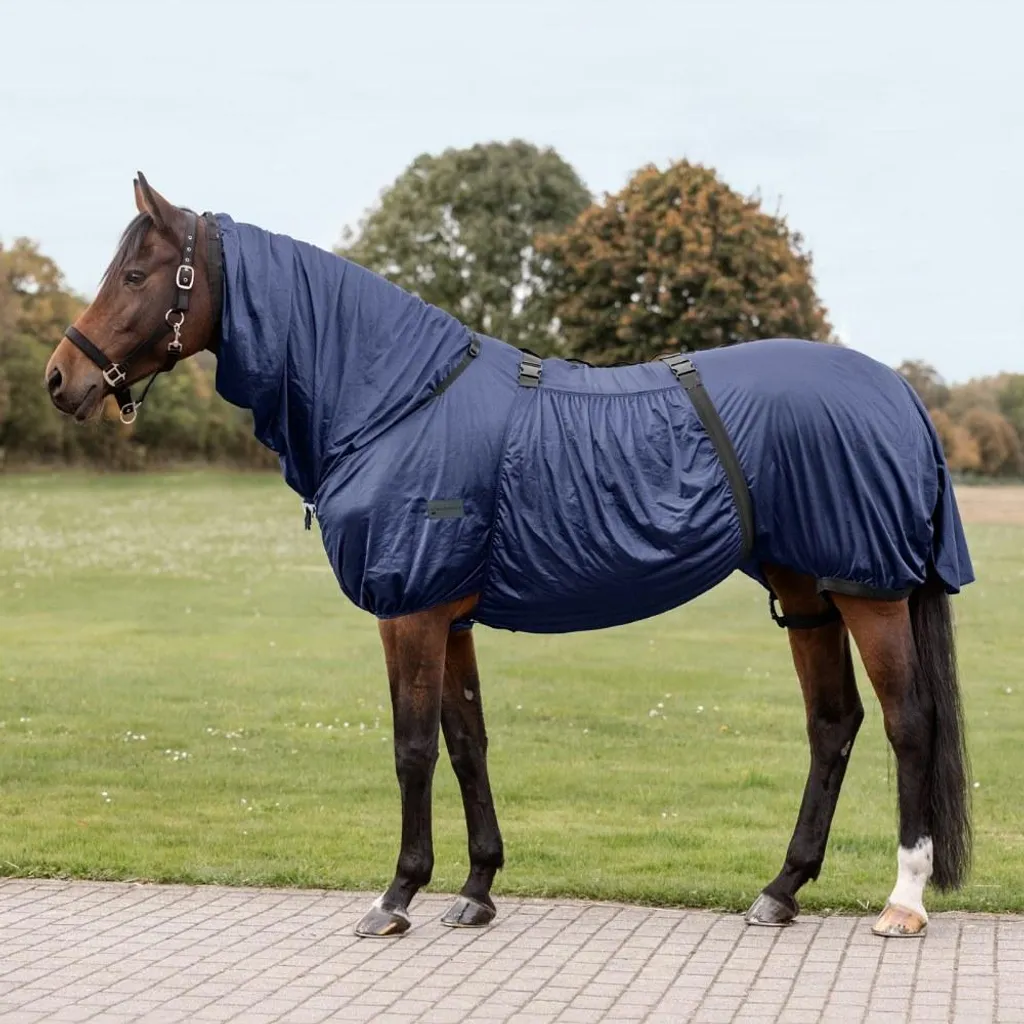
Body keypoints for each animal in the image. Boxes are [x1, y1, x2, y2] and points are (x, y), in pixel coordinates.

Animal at [45, 173, 973, 940]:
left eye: (136, 276)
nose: (60, 379)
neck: (397, 399)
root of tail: (899, 391)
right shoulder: (449, 616)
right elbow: (467, 742)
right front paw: (477, 890)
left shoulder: (410, 611)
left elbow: (412, 747)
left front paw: (396, 896)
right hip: (808, 593)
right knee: (833, 724)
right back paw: (780, 891)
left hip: (870, 593)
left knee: (908, 724)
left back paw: (902, 901)